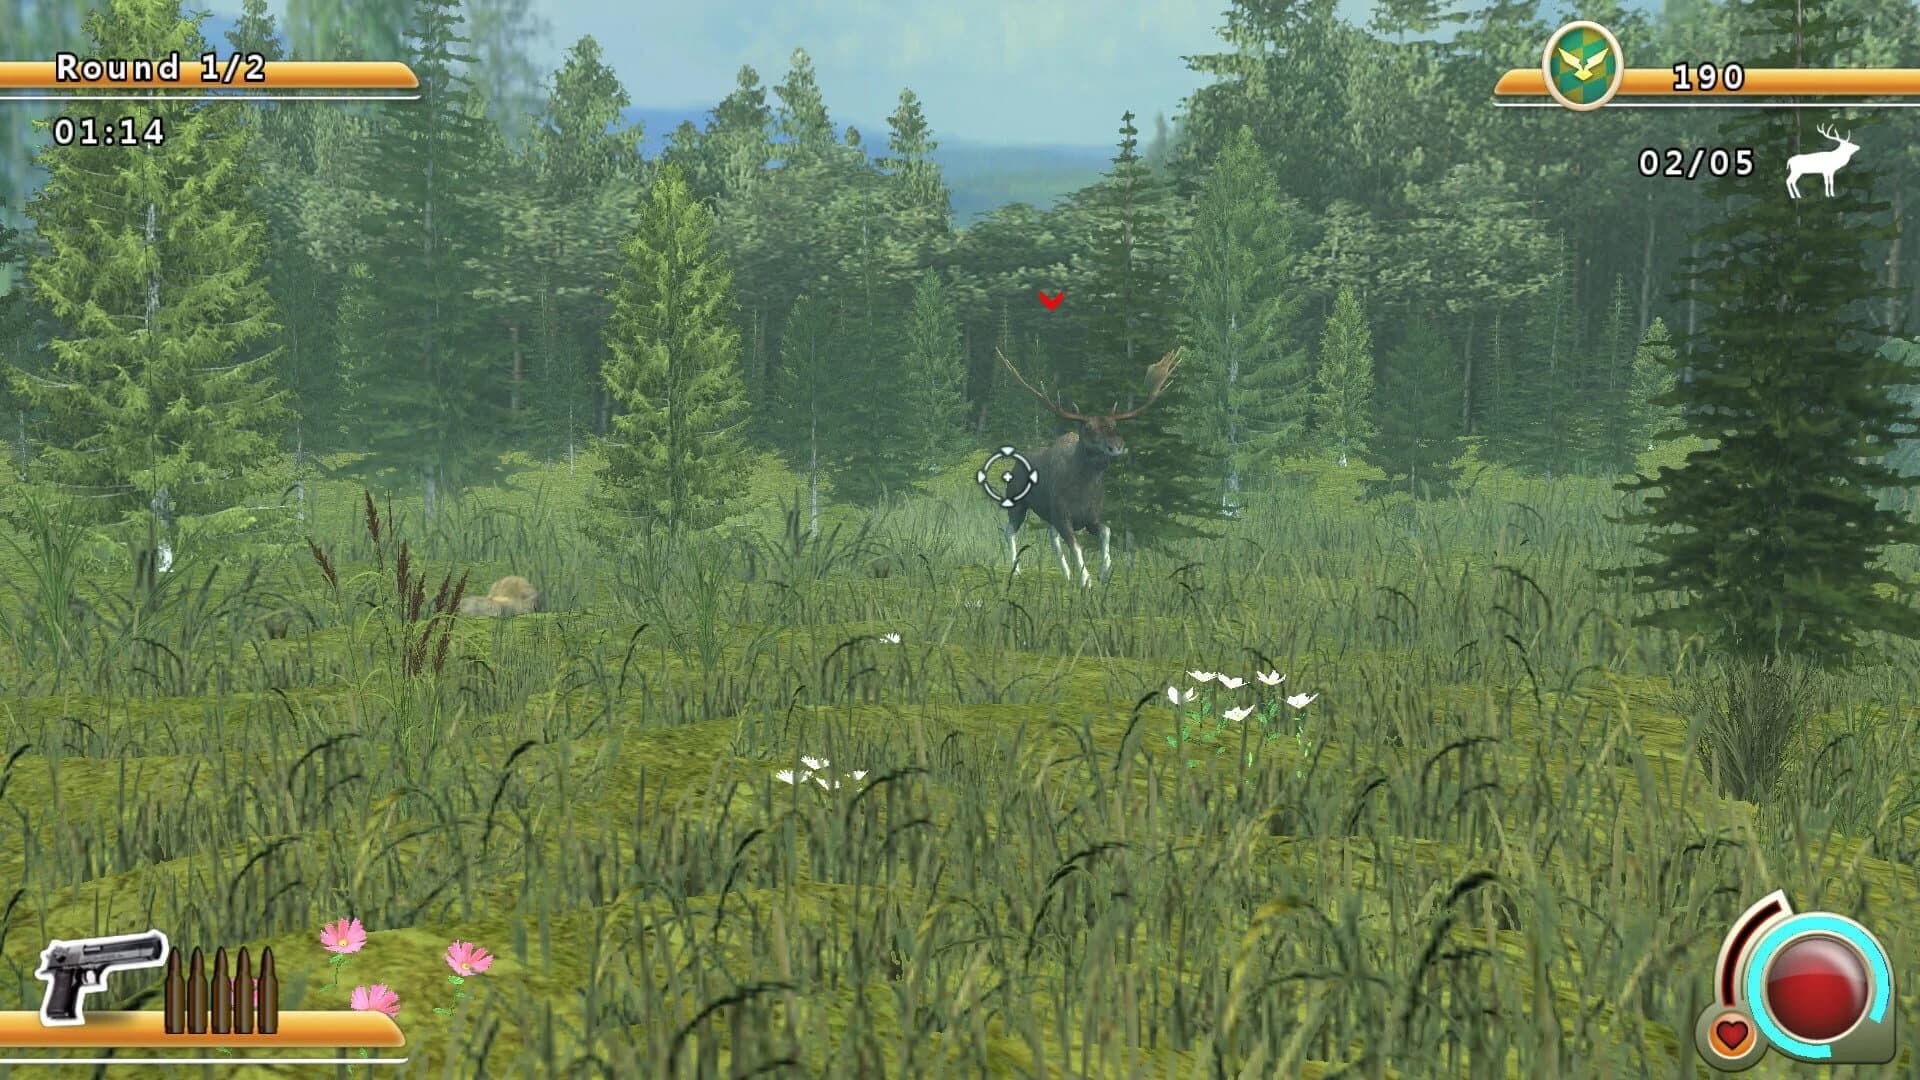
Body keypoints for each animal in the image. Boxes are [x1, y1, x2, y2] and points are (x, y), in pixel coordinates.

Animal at [992, 346, 1183, 586]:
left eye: (1114, 424)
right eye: (1089, 427)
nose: (1117, 446)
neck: (1083, 488)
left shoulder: (1091, 518)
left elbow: (1107, 532)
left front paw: (1104, 572)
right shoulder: (1063, 516)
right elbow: (1077, 547)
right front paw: (1086, 580)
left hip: (1048, 514)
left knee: (1052, 539)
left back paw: (1066, 574)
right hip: (1018, 503)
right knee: (1009, 531)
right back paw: (1016, 571)